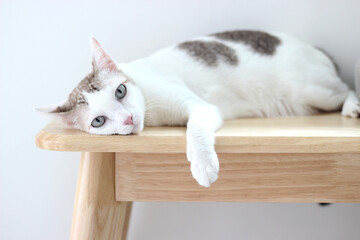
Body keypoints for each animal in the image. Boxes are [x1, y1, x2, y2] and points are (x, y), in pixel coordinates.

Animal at [37, 30, 360, 188]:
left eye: (120, 91)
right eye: (99, 121)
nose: (128, 118)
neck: (152, 113)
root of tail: (312, 47)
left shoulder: (200, 107)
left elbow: (195, 129)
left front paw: (203, 164)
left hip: (311, 89)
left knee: (346, 87)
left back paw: (353, 106)